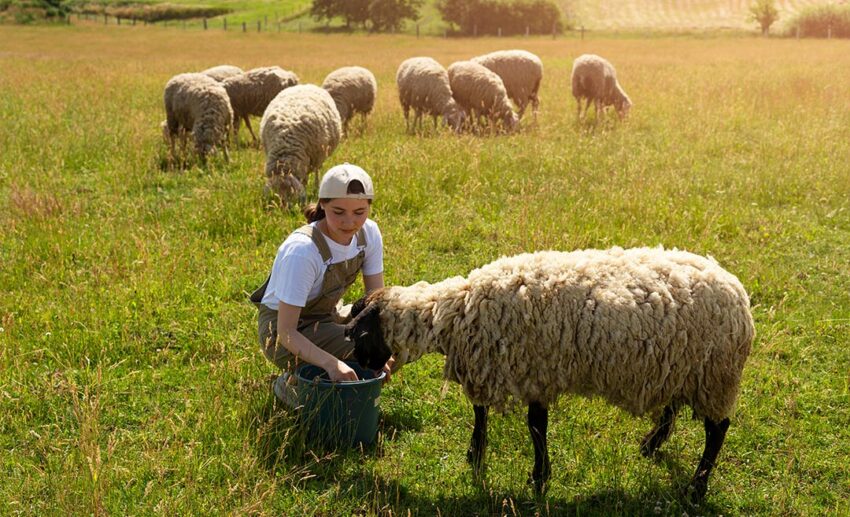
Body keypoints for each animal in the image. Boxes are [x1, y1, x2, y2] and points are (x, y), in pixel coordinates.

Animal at [346, 247, 754, 501]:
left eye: (360, 333)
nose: (363, 367)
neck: (456, 312)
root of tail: (739, 295)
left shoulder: (532, 369)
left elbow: (531, 426)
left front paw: (536, 477)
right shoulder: (524, 371)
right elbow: (490, 415)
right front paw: (480, 455)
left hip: (715, 375)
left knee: (717, 430)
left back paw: (697, 487)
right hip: (681, 367)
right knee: (673, 407)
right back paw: (651, 445)